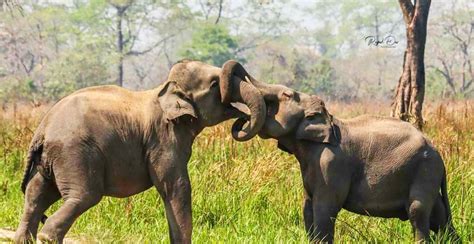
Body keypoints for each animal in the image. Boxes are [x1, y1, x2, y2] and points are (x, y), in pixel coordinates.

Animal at [13, 59, 266, 244]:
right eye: (214, 85)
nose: (242, 119)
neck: (165, 90)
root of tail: (42, 130)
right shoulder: (163, 140)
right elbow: (176, 187)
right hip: (74, 153)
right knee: (83, 195)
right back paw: (47, 236)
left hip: (49, 160)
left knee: (36, 195)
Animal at [252, 83, 460, 242]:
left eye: (286, 95)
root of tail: (439, 155)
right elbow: (307, 208)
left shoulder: (331, 165)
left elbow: (325, 208)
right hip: (427, 176)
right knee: (439, 216)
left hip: (425, 171)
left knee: (418, 212)